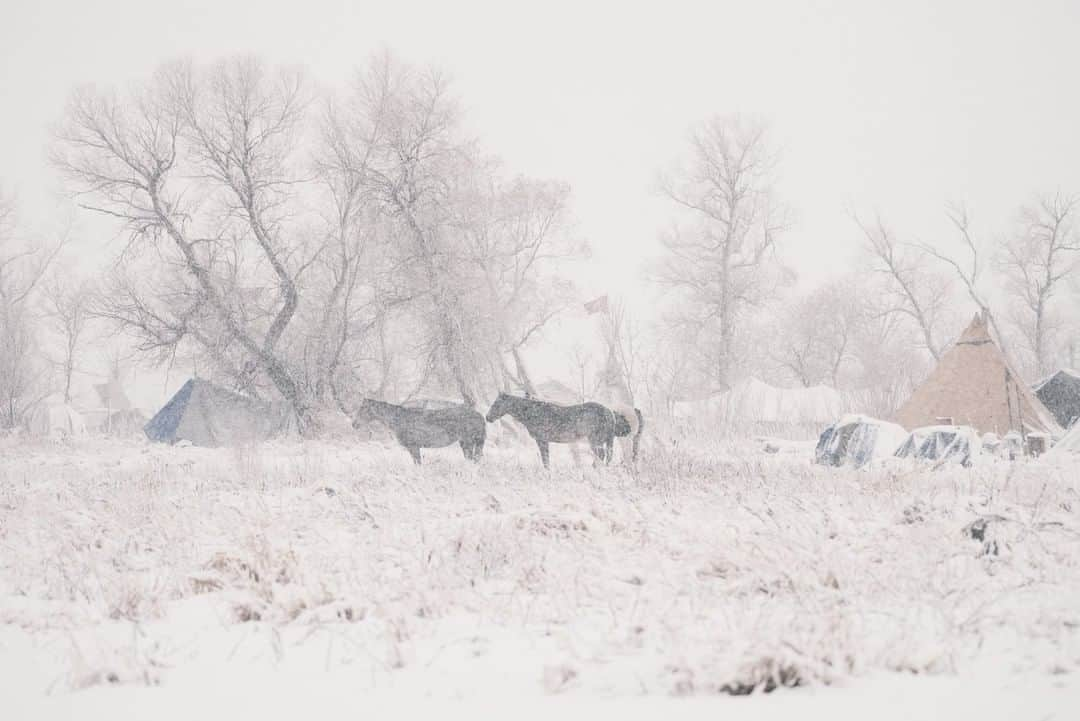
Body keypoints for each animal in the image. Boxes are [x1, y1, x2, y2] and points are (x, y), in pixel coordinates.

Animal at [354, 397, 486, 464]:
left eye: (363, 409)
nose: (354, 424)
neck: (400, 419)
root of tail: (479, 415)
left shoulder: (414, 447)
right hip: (464, 443)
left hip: (469, 443)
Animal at [488, 390, 617, 470]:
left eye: (496, 404)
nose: (487, 417)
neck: (533, 412)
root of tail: (609, 412)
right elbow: (546, 459)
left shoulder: (542, 440)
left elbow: (545, 459)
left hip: (595, 440)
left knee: (601, 455)